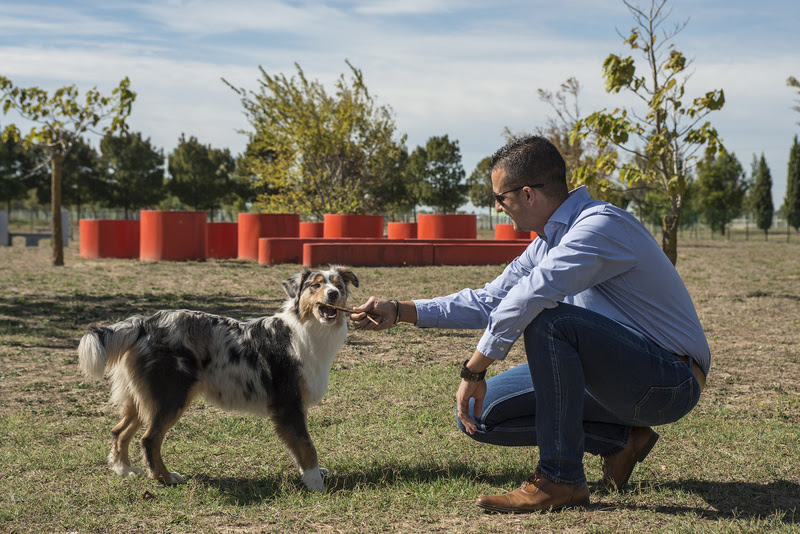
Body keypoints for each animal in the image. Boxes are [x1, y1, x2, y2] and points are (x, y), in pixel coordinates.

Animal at [78, 266, 360, 496]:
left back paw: (124, 470)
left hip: (143, 398)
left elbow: (298, 446)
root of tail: (144, 322)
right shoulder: (288, 404)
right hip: (170, 398)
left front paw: (311, 474)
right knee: (149, 440)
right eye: (316, 285)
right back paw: (165, 478)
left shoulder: (293, 407)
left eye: (339, 285)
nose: (333, 294)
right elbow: (306, 445)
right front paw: (315, 484)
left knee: (119, 431)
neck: (306, 330)